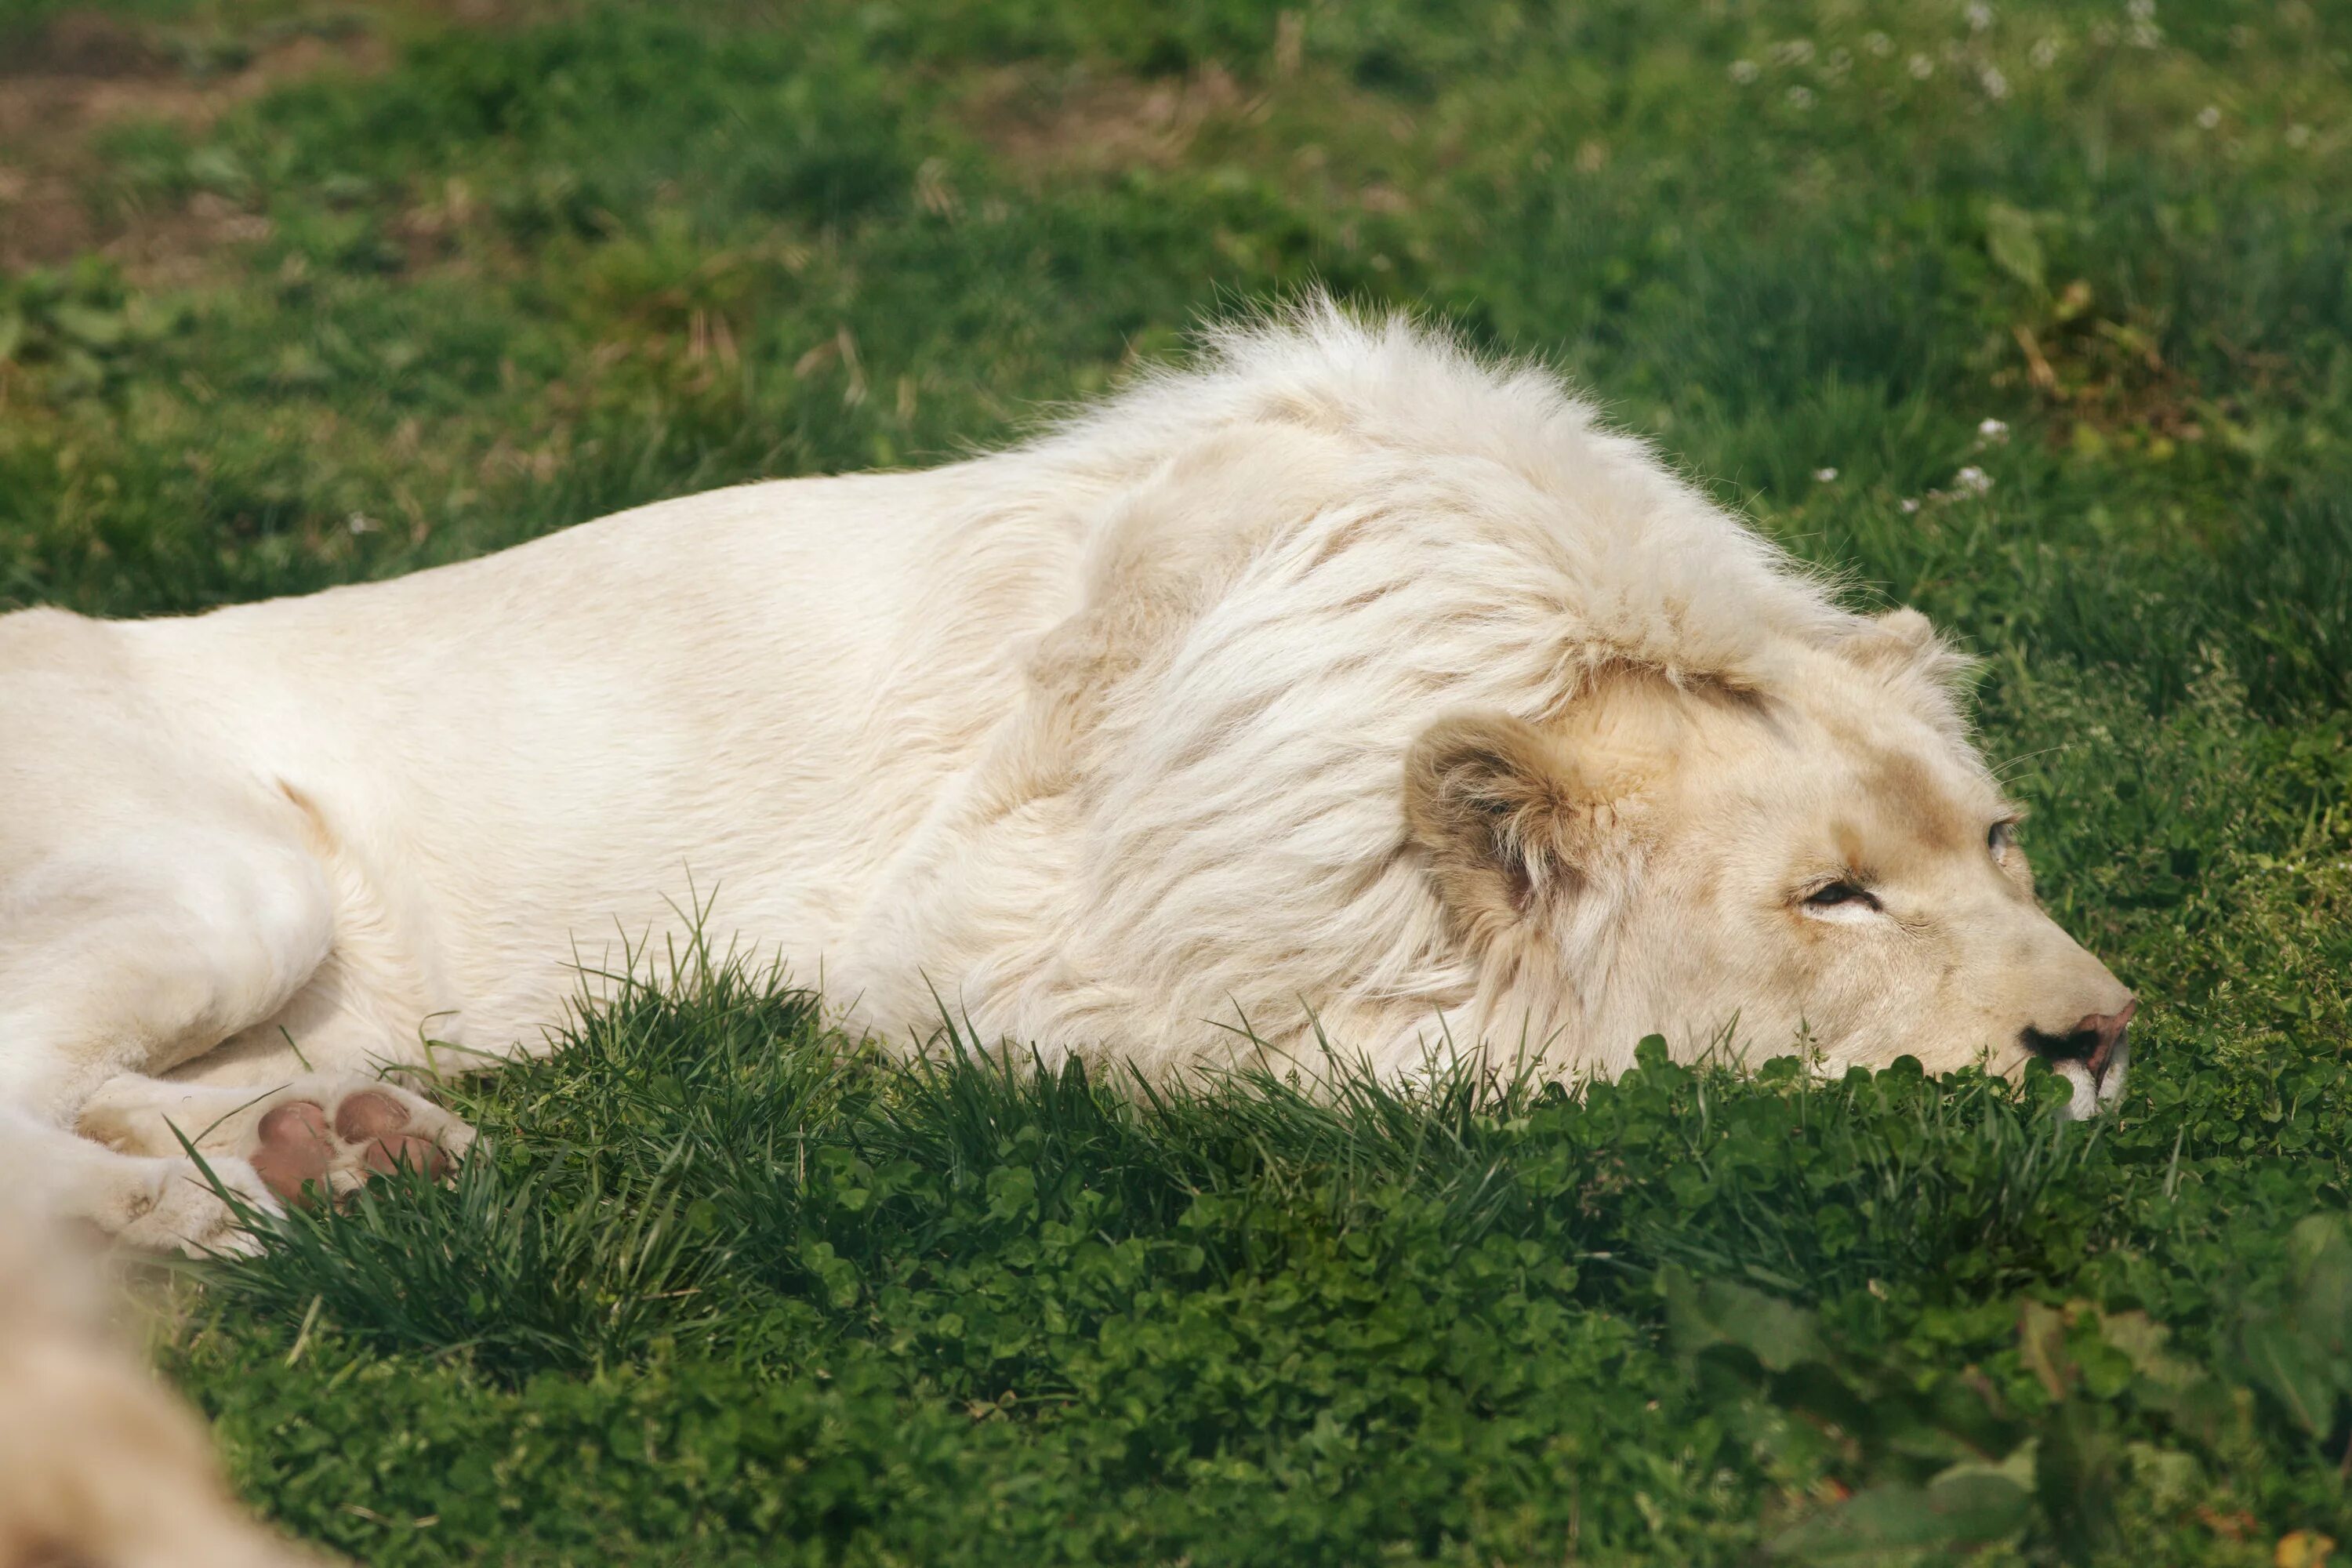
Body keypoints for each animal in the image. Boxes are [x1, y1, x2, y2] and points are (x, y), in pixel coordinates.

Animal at [0, 305, 2136, 1250]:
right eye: (1831, 895)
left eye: (2001, 843)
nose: (2099, 1040)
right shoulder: (986, 955)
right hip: (232, 881)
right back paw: (241, 1217)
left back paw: (345, 1147)